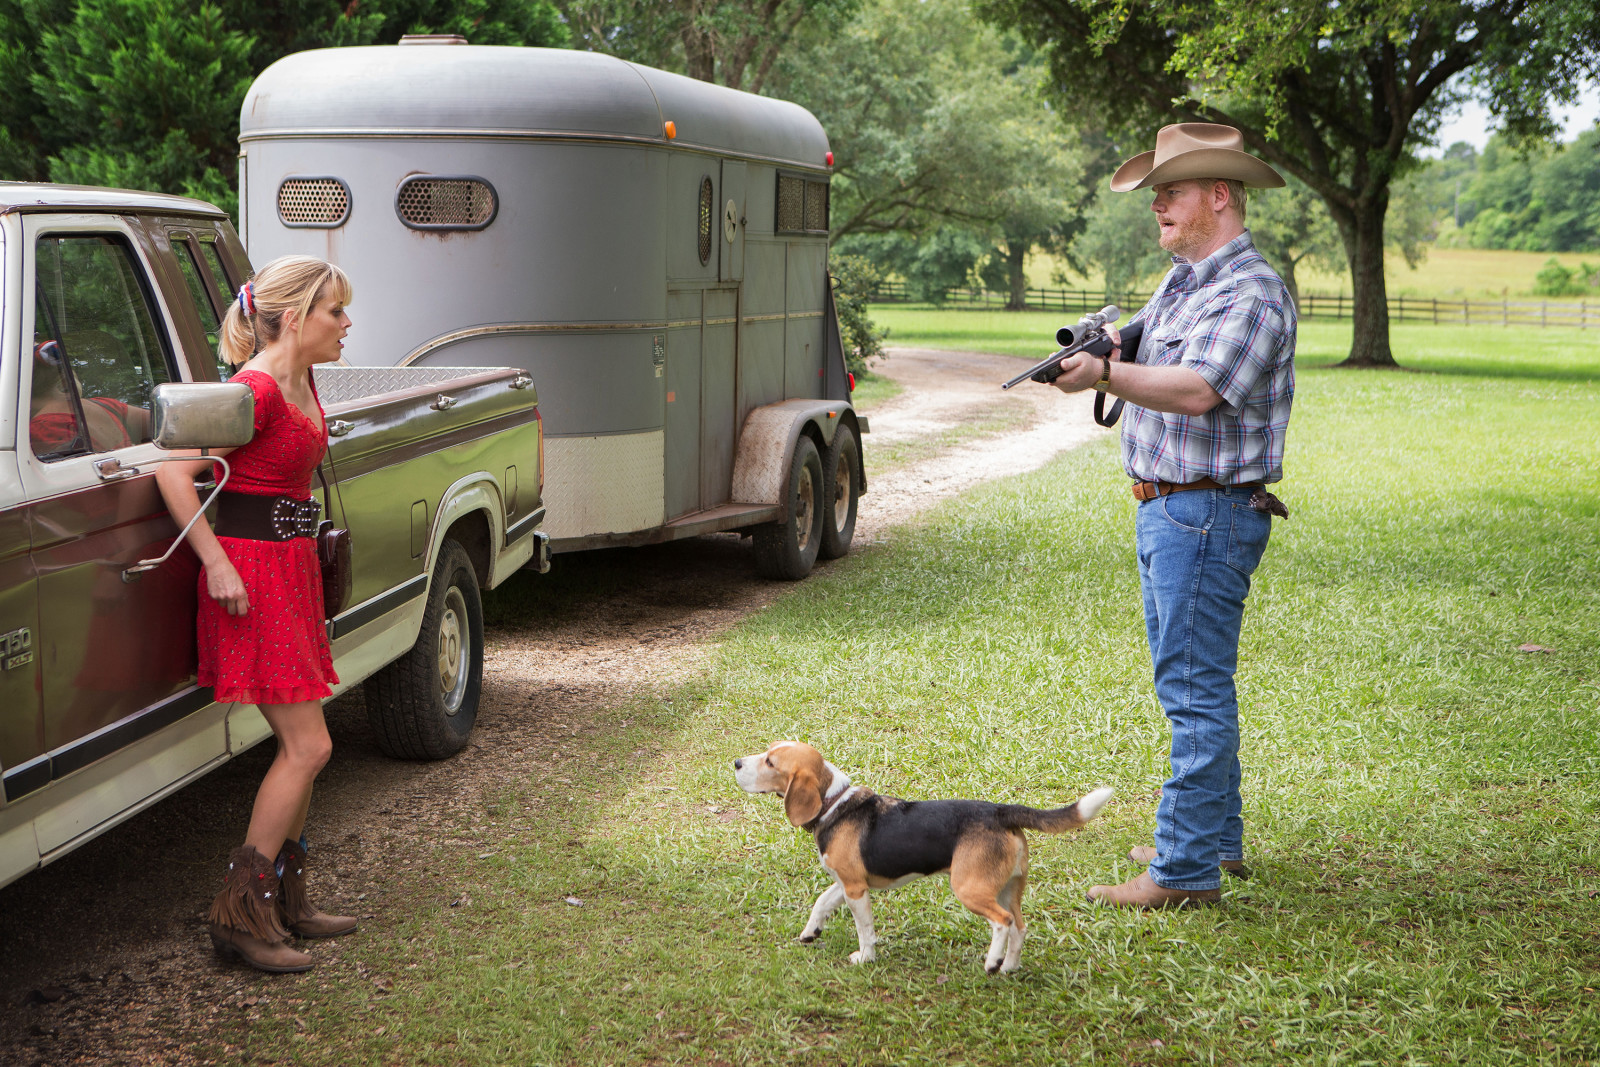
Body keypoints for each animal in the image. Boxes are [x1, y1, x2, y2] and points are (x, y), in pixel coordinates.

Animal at [729, 742, 1113, 979]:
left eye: (770, 762)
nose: (736, 763)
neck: (834, 802)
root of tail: (1000, 811)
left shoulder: (855, 889)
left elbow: (864, 929)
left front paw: (865, 958)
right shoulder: (847, 882)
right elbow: (821, 902)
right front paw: (811, 932)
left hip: (969, 888)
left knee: (1002, 922)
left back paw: (992, 962)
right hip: (1008, 887)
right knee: (1019, 925)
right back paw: (1008, 967)